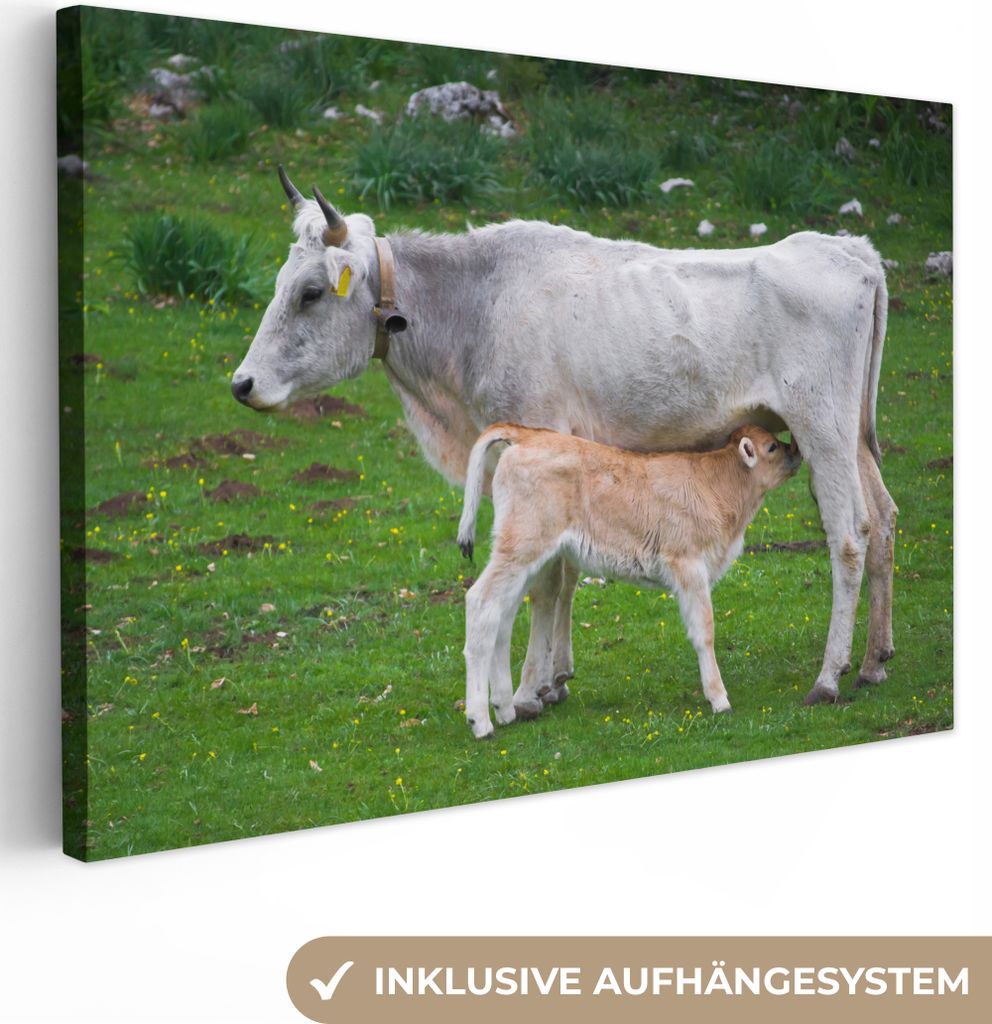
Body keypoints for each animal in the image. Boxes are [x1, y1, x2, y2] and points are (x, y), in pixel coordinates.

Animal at [455, 423, 802, 738]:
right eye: (772, 447)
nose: (796, 451)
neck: (721, 489)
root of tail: (528, 434)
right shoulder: (688, 564)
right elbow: (704, 631)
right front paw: (719, 699)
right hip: (522, 546)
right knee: (480, 601)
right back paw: (480, 721)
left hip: (526, 555)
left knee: (502, 616)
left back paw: (504, 708)